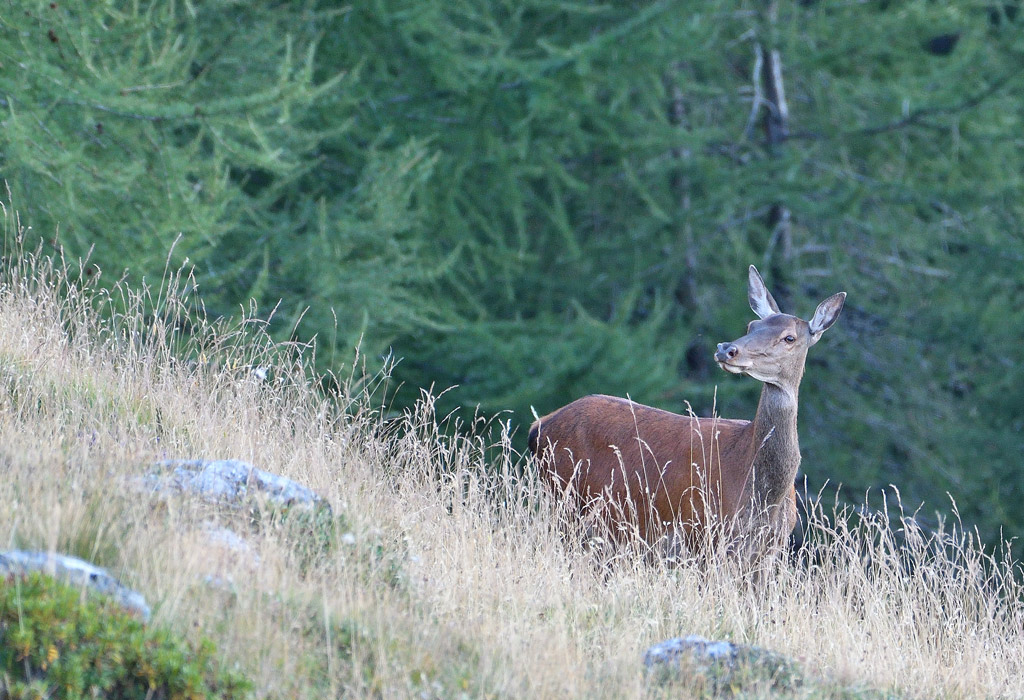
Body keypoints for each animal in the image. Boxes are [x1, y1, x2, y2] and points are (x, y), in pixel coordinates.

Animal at [528, 266, 847, 556]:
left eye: (789, 338)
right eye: (751, 326)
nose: (726, 349)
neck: (765, 494)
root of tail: (539, 426)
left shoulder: (769, 549)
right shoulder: (701, 532)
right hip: (564, 501)